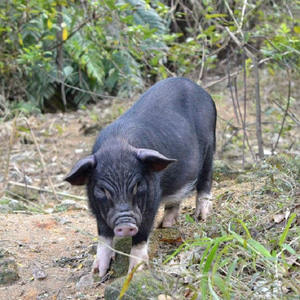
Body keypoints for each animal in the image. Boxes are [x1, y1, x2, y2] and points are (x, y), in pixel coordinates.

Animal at [65, 78, 216, 276]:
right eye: (103, 190)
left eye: (137, 185)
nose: (125, 224)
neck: (118, 144)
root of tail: (201, 90)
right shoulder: (96, 206)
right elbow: (104, 235)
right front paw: (98, 272)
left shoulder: (152, 198)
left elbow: (142, 233)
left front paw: (136, 270)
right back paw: (166, 224)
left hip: (210, 147)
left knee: (205, 181)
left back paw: (201, 217)